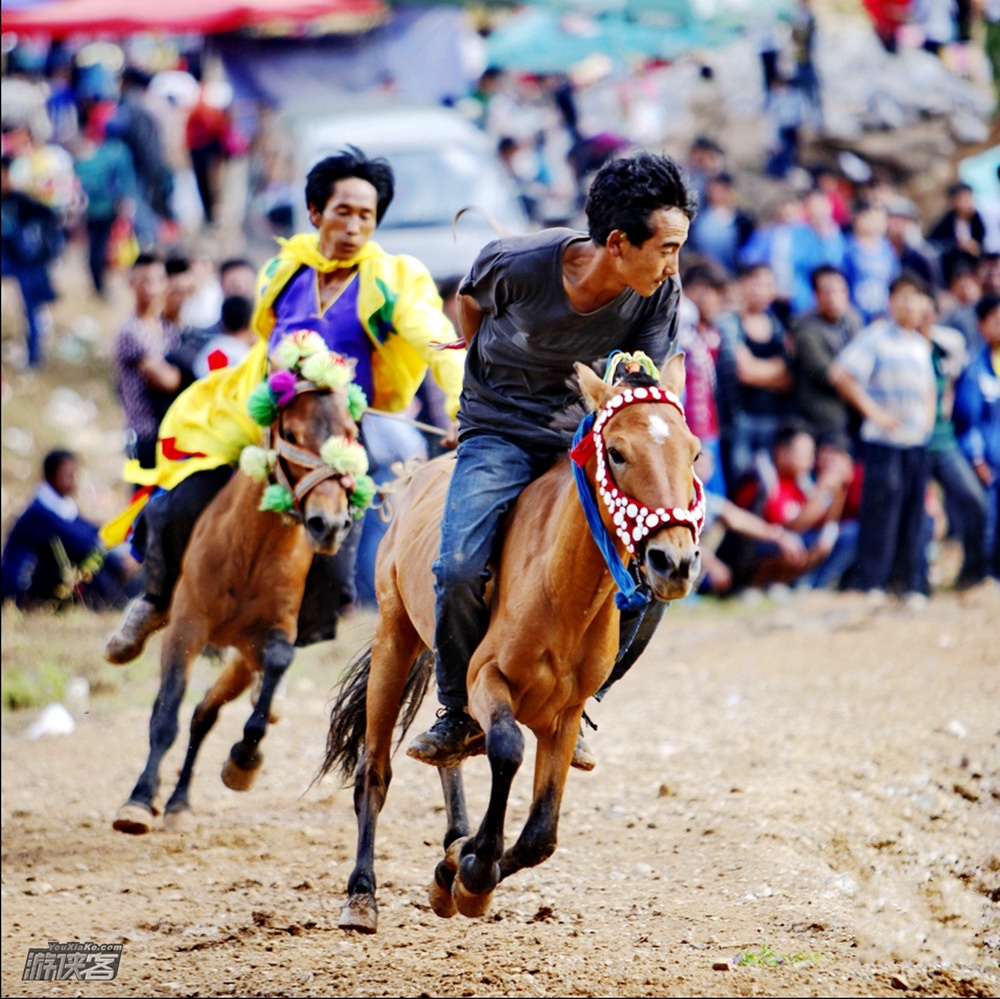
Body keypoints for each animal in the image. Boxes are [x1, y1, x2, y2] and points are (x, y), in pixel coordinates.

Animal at [113, 352, 372, 836]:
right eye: (292, 434)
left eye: (350, 433)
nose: (329, 524)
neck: (252, 549)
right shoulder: (187, 626)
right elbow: (165, 713)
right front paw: (137, 801)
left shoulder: (272, 633)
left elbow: (278, 663)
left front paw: (245, 759)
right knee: (188, 707)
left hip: (241, 656)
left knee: (205, 714)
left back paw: (180, 800)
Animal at [320, 356, 704, 932]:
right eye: (616, 452)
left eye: (694, 452)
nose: (673, 561)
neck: (561, 589)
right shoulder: (487, 679)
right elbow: (506, 747)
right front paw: (472, 872)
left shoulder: (565, 714)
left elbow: (542, 833)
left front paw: (457, 867)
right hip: (395, 633)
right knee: (374, 770)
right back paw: (362, 895)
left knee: (451, 757)